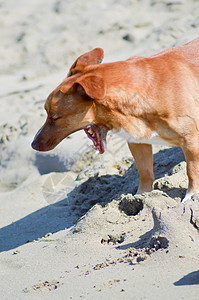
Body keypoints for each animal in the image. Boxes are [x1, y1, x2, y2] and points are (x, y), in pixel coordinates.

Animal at [31, 38, 199, 202]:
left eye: (54, 117)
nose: (33, 144)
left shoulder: (190, 141)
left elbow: (192, 170)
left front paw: (191, 196)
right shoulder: (138, 143)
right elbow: (145, 172)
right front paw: (141, 197)